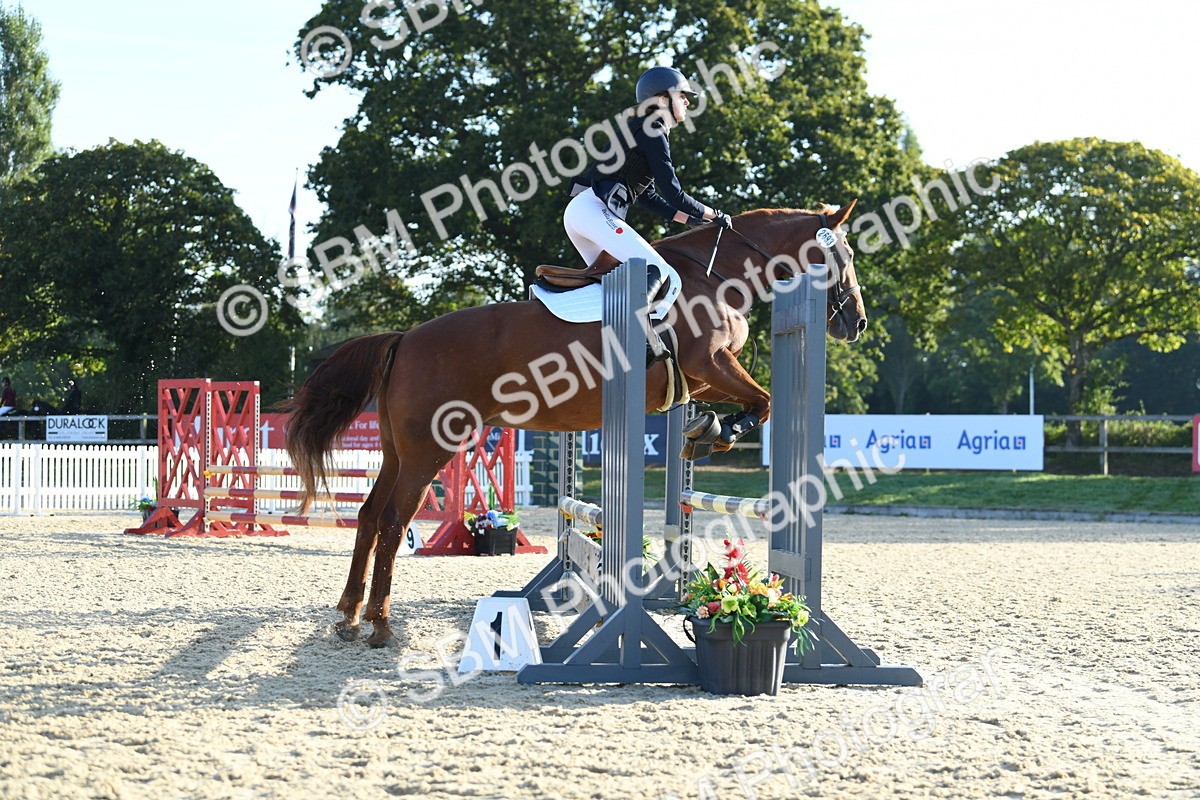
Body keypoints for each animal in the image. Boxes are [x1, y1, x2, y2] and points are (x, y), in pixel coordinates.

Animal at [282, 201, 865, 647]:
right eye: (845, 254)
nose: (855, 323)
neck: (718, 278)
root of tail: (404, 338)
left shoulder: (700, 379)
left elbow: (736, 405)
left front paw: (704, 431)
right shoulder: (711, 362)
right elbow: (762, 401)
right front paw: (715, 434)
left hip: (397, 450)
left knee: (367, 516)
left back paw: (348, 617)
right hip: (429, 449)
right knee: (391, 522)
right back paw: (380, 625)